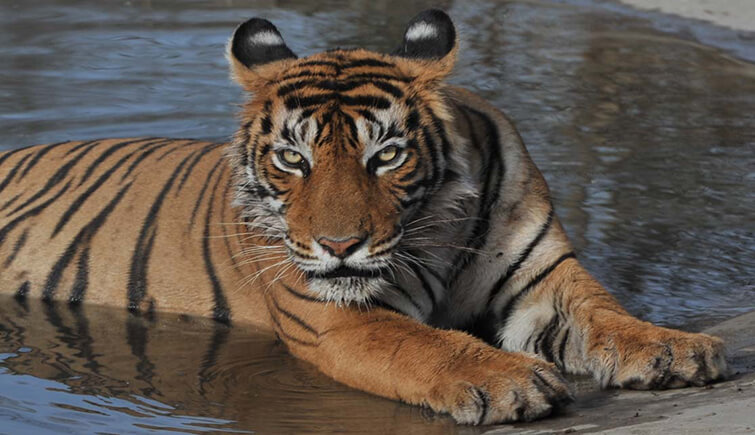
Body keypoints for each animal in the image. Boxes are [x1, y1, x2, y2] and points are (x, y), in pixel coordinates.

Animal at [0, 9, 728, 425]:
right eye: (292, 157)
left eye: (388, 155)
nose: (339, 244)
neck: (437, 229)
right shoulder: (333, 318)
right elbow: (423, 343)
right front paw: (508, 382)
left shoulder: (542, 281)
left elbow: (604, 311)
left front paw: (673, 346)